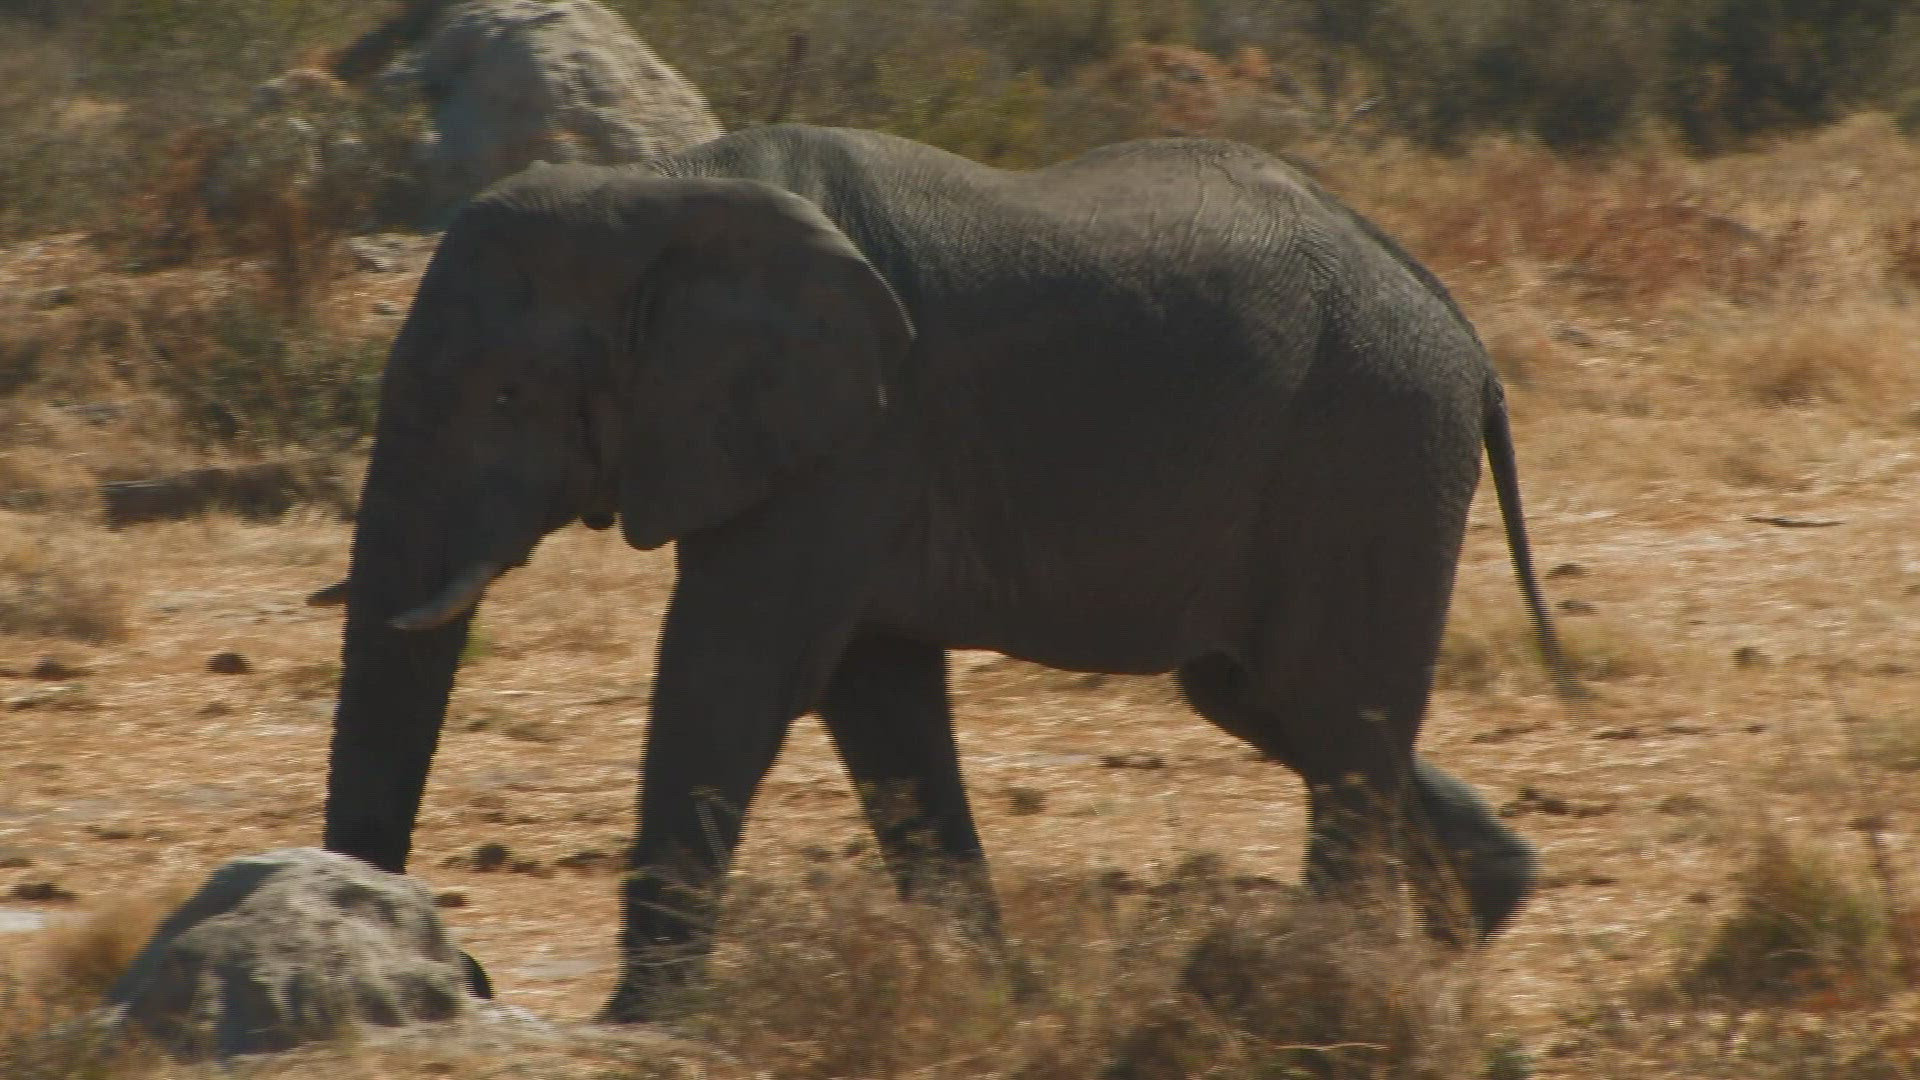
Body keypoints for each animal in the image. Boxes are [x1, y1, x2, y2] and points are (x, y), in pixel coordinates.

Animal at [310, 123, 1581, 1022]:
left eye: (506, 398)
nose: (465, 972)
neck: (657, 186)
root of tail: (1464, 335)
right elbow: (878, 701)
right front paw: (996, 993)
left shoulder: (854, 439)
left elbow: (736, 671)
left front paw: (636, 1025)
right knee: (1273, 698)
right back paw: (1485, 910)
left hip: (1369, 441)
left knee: (1333, 709)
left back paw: (1317, 993)